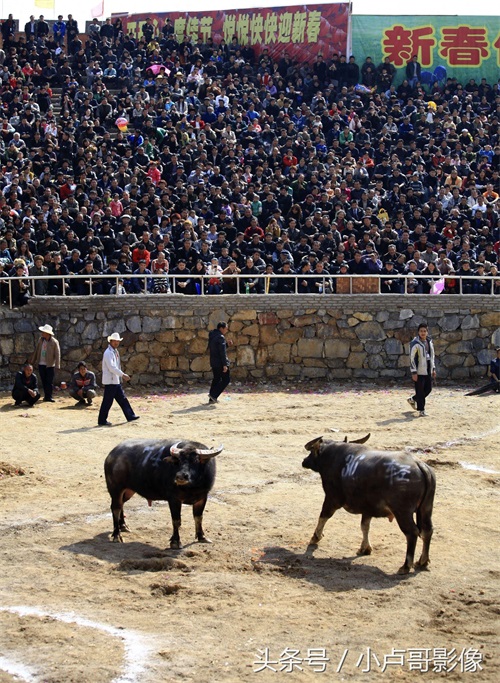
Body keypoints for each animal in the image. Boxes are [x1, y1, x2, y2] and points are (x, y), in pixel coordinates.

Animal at [302, 436, 436, 576]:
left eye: (311, 451)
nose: (304, 461)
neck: (331, 457)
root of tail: (419, 464)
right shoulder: (367, 509)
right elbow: (364, 526)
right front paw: (365, 548)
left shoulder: (332, 499)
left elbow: (323, 516)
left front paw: (316, 537)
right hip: (426, 509)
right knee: (427, 531)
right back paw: (422, 561)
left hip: (402, 512)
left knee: (412, 532)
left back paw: (406, 566)